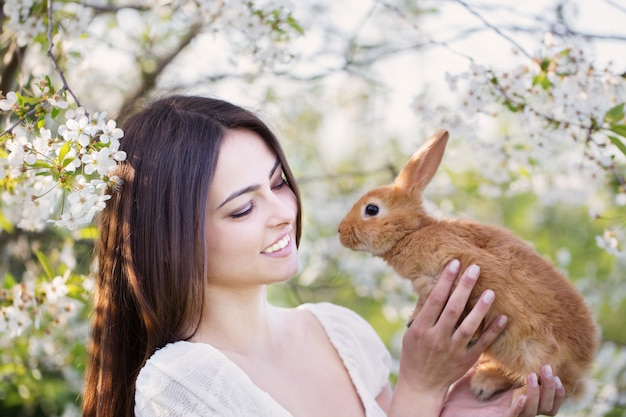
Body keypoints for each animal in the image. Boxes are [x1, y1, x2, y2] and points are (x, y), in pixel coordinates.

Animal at [334, 129, 596, 400]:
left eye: (371, 209)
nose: (340, 231)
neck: (413, 232)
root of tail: (580, 370)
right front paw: (414, 319)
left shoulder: (468, 268)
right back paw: (486, 382)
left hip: (536, 352)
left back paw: (518, 392)